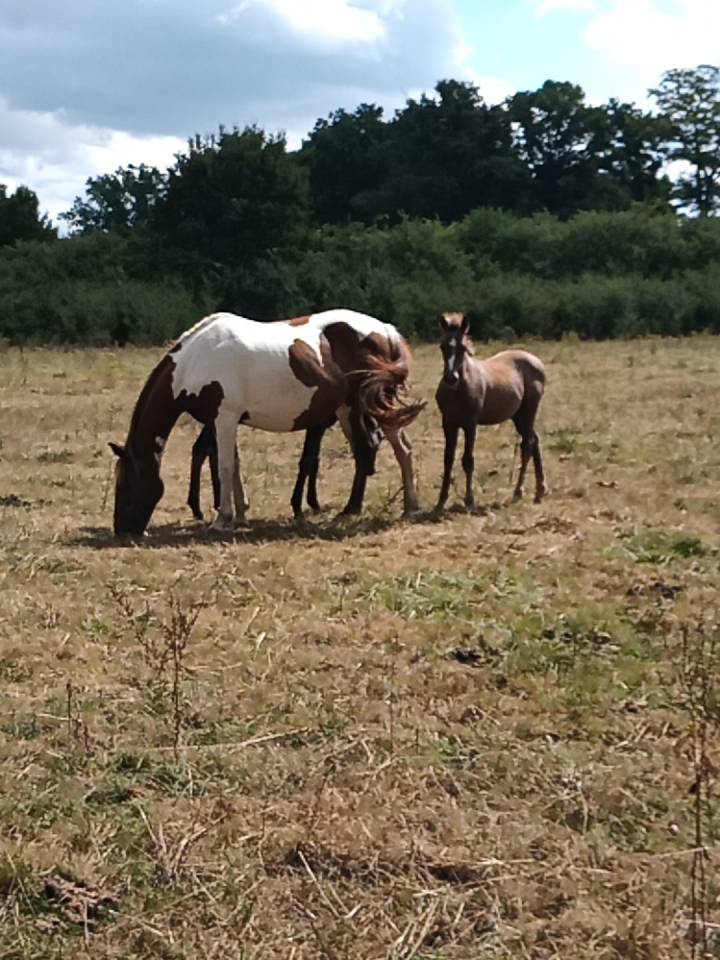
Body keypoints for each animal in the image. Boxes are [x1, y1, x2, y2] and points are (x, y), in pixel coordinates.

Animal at [110, 309, 424, 535]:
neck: (197, 359)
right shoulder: (222, 421)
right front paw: (240, 515)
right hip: (349, 410)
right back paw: (360, 509)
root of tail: (386, 331)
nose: (123, 530)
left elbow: (224, 467)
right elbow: (233, 465)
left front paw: (222, 519)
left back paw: (406, 507)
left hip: (372, 407)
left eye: (126, 484)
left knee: (400, 450)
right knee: (370, 451)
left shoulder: (224, 418)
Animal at [435, 312, 548, 511]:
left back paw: (519, 492)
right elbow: (448, 459)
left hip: (529, 411)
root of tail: (536, 361)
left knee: (527, 444)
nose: (450, 378)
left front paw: (469, 500)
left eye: (463, 348)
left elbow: (468, 460)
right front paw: (440, 501)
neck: (459, 389)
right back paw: (540, 490)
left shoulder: (470, 424)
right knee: (534, 440)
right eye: (443, 346)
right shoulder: (448, 423)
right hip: (518, 416)